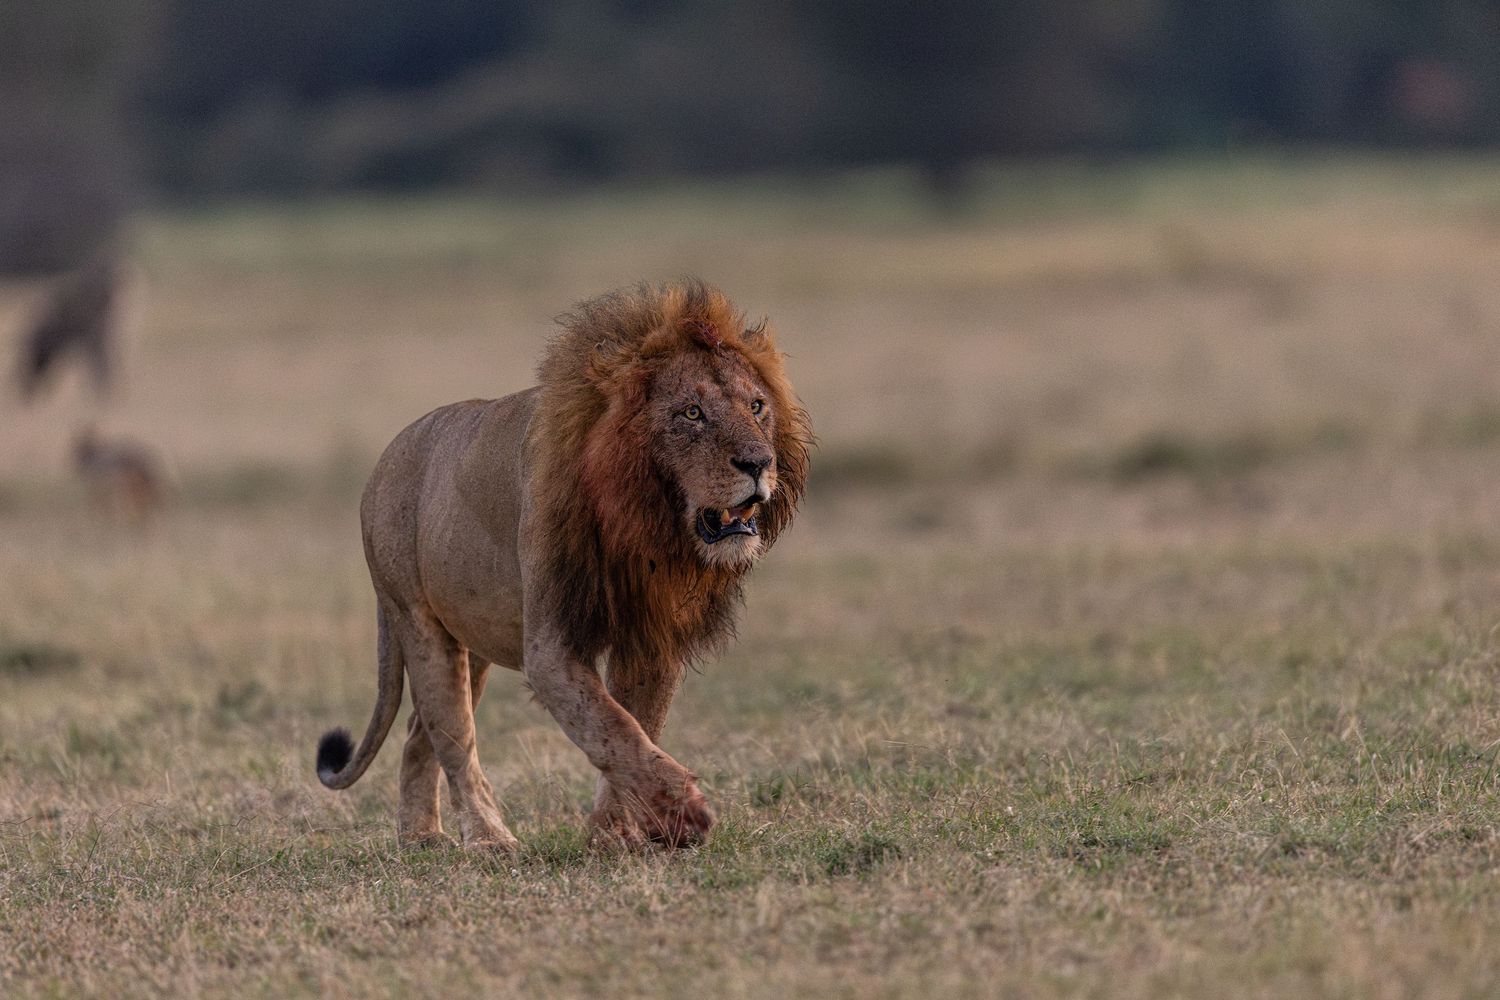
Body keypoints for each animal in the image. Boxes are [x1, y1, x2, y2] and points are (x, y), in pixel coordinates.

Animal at [316, 281, 812, 851]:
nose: (758, 463)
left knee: (421, 735)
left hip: (473, 643)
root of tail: (383, 461)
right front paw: (682, 813)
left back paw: (420, 837)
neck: (645, 522)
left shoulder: (652, 637)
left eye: (757, 406)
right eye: (691, 413)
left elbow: (635, 725)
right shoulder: (550, 647)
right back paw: (489, 839)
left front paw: (613, 832)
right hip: (418, 622)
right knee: (453, 736)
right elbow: (609, 728)